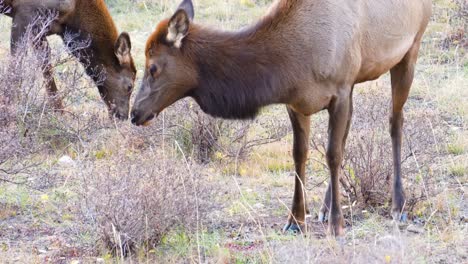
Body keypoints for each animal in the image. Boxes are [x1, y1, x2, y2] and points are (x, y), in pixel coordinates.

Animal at [1, 0, 136, 119]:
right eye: (130, 86)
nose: (123, 117)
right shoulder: (22, 13)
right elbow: (16, 60)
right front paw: (7, 107)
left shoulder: (40, 28)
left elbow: (45, 62)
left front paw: (59, 112)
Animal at [131, 0, 432, 235]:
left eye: (152, 67)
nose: (135, 113)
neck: (292, 60)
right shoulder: (298, 101)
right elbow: (300, 155)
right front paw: (296, 220)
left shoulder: (340, 90)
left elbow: (332, 155)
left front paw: (337, 225)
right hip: (358, 80)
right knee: (349, 134)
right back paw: (325, 207)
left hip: (411, 49)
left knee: (395, 121)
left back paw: (398, 205)